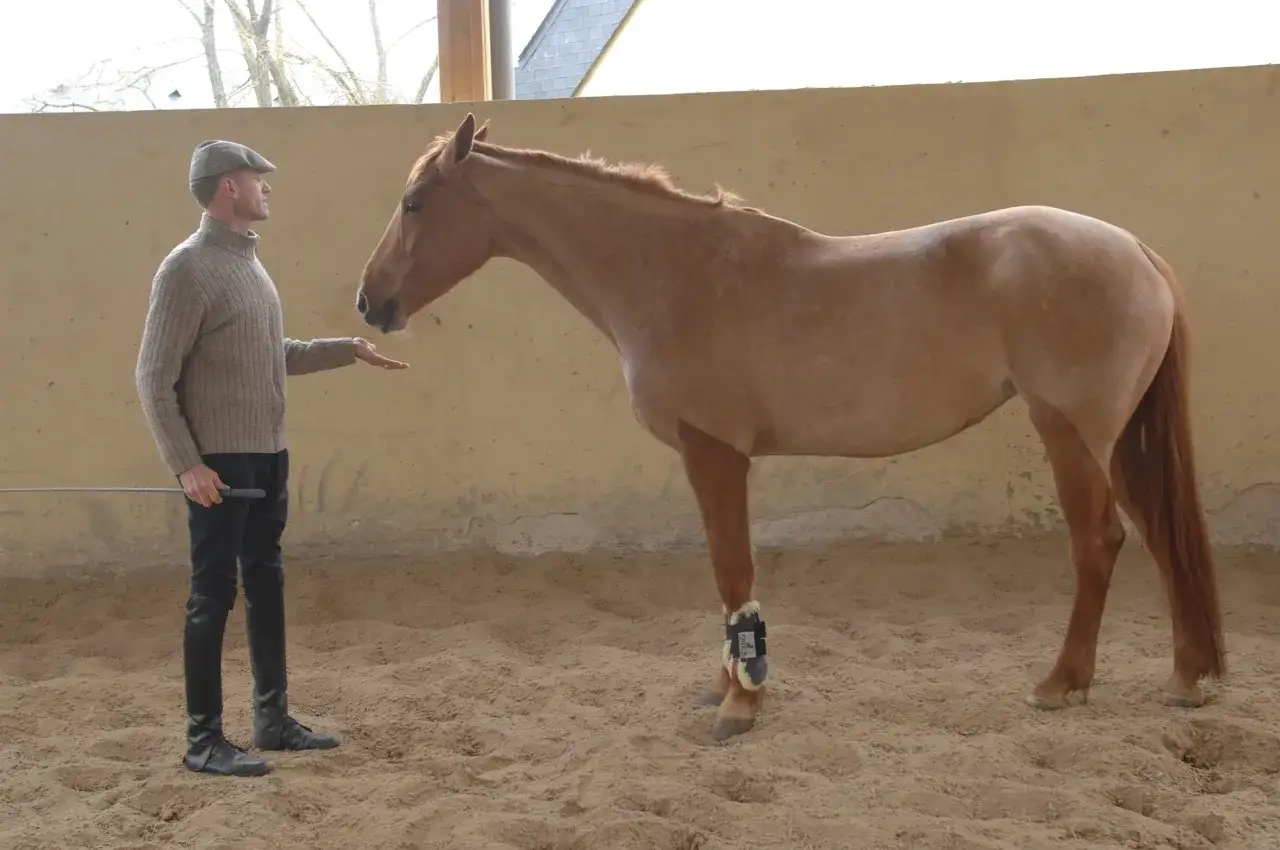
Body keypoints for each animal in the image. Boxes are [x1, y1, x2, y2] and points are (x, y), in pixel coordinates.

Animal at [354, 112, 1225, 742]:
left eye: (413, 203)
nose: (370, 302)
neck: (674, 273)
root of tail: (1135, 250)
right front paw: (725, 684)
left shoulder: (715, 453)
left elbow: (731, 570)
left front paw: (740, 703)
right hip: (1117, 442)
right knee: (1159, 535)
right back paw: (1189, 678)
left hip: (1070, 431)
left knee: (1099, 543)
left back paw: (1062, 684)